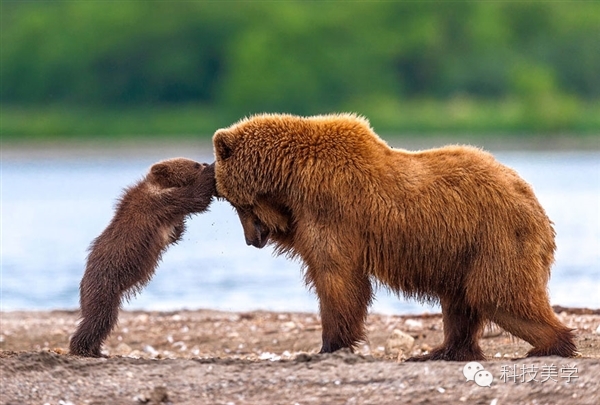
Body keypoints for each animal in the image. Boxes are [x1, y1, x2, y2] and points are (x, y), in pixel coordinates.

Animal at [213, 113, 580, 360]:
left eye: (235, 203)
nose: (252, 239)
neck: (290, 175)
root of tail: (534, 202)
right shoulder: (305, 213)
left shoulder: (331, 206)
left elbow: (336, 277)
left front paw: (329, 344)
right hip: (464, 251)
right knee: (461, 303)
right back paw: (442, 350)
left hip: (496, 237)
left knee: (498, 295)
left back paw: (550, 344)